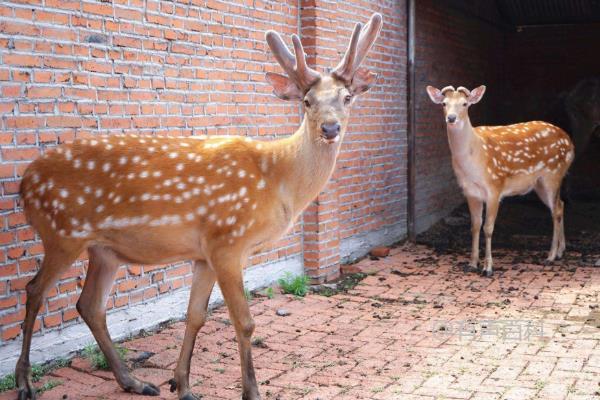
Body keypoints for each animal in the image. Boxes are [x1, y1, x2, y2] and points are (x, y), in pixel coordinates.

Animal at [15, 12, 384, 400]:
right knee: (35, 291)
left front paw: (181, 384)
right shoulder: (227, 240)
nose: (330, 128)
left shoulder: (204, 253)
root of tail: (25, 182)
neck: (277, 180)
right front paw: (250, 391)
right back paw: (25, 383)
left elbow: (196, 315)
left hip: (104, 250)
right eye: (307, 101)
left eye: (347, 97)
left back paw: (133, 381)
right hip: (62, 232)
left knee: (89, 305)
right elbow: (244, 321)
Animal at [424, 86, 576, 276]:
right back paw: (561, 251)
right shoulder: (470, 192)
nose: (451, 118)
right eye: (444, 103)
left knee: (556, 210)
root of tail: (571, 144)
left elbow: (488, 228)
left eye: (465, 104)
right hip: (541, 183)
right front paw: (472, 264)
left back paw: (551, 256)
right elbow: (475, 226)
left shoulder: (495, 186)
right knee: (560, 205)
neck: (475, 158)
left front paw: (488, 268)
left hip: (553, 174)